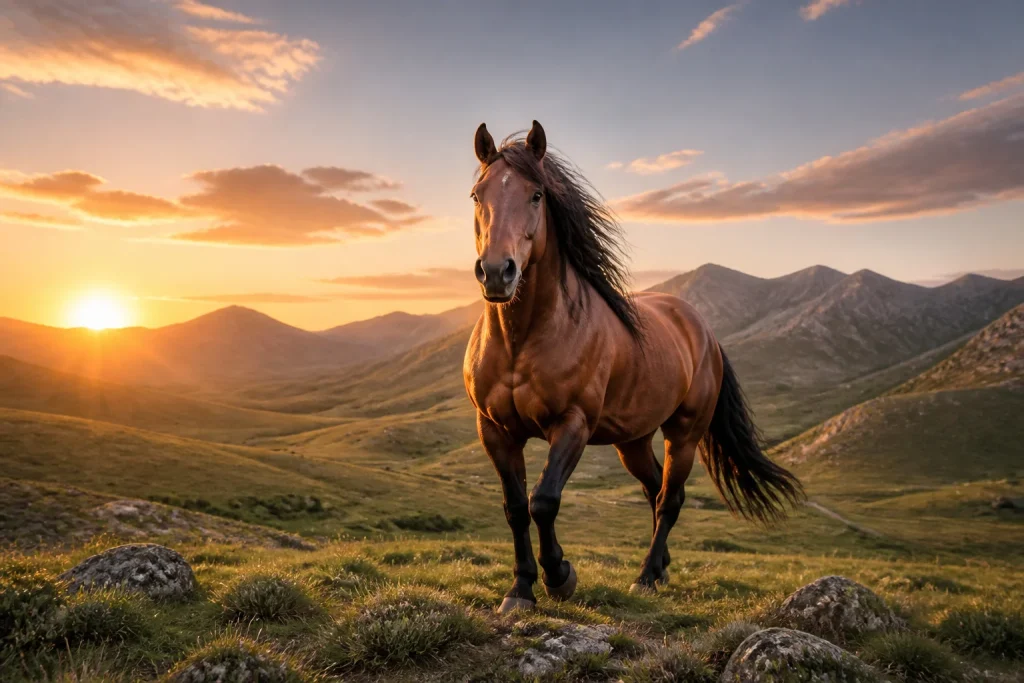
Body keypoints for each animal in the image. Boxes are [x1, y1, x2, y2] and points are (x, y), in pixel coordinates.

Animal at [463, 120, 804, 613]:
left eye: (537, 195)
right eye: (477, 195)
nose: (496, 272)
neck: (521, 340)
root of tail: (703, 330)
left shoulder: (573, 424)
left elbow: (543, 500)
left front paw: (560, 576)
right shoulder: (494, 429)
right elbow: (515, 507)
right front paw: (520, 589)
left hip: (683, 435)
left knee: (669, 498)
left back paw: (645, 577)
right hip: (633, 441)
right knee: (654, 489)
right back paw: (659, 569)